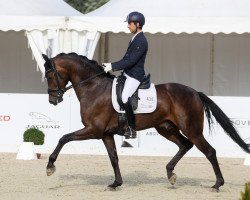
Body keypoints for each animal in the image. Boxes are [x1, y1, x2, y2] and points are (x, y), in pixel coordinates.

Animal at [42, 52, 249, 191]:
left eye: (50, 76)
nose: (52, 100)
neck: (94, 88)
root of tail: (195, 93)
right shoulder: (105, 134)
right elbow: (113, 158)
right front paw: (116, 183)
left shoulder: (93, 129)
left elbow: (63, 138)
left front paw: (50, 166)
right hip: (166, 128)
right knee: (185, 145)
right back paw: (170, 173)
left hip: (191, 129)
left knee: (209, 151)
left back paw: (217, 184)